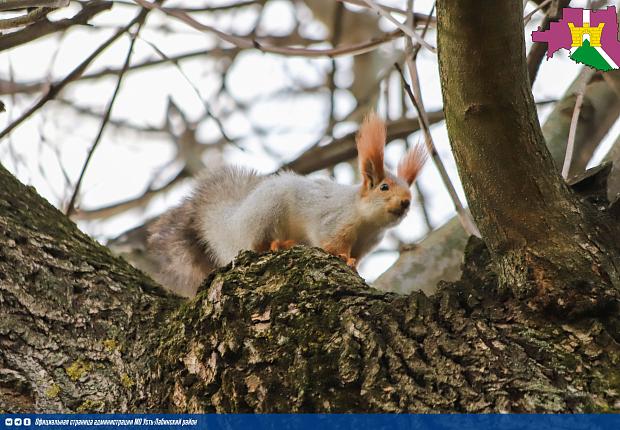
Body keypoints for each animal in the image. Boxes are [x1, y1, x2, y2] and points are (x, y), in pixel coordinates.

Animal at [147, 112, 426, 298]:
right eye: (384, 187)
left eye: (409, 191)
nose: (406, 203)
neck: (369, 221)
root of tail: (234, 222)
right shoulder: (335, 221)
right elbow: (332, 242)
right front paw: (341, 257)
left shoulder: (367, 243)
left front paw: (354, 265)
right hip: (267, 215)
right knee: (258, 244)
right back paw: (279, 244)